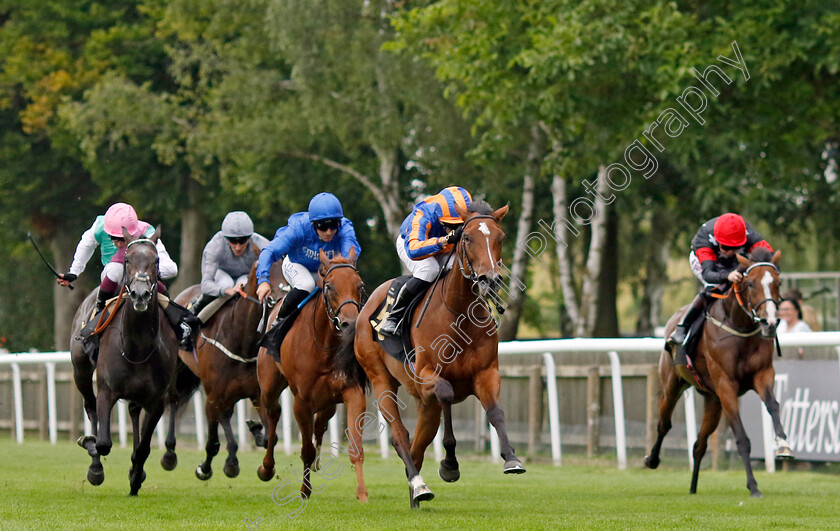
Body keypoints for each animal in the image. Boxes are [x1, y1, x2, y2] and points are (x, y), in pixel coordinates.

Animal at [71, 227, 180, 496]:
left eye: (156, 260)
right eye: (128, 260)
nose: (140, 294)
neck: (138, 347)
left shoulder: (157, 401)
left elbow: (143, 448)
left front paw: (135, 477)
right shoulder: (106, 391)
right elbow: (103, 442)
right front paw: (91, 451)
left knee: (133, 413)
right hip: (80, 370)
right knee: (90, 407)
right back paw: (94, 464)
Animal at [171, 254, 288, 482]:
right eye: (266, 273)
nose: (282, 298)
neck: (241, 341)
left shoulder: (257, 393)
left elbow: (271, 437)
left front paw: (255, 431)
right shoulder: (213, 396)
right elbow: (213, 443)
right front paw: (206, 468)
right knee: (172, 403)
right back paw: (168, 454)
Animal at [254, 249, 370, 502]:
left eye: (360, 286)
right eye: (329, 287)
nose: (349, 323)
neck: (325, 346)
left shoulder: (352, 392)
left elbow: (356, 447)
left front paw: (362, 494)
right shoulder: (301, 402)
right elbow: (305, 449)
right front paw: (304, 491)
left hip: (328, 402)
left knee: (321, 423)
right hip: (269, 386)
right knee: (273, 415)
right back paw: (267, 467)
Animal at [644, 249, 796, 498]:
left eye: (778, 282)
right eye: (751, 283)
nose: (770, 323)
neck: (739, 326)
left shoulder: (763, 374)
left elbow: (773, 405)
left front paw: (783, 445)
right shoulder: (726, 386)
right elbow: (742, 439)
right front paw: (753, 486)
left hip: (712, 400)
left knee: (699, 444)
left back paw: (693, 488)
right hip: (672, 385)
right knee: (664, 424)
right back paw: (652, 459)